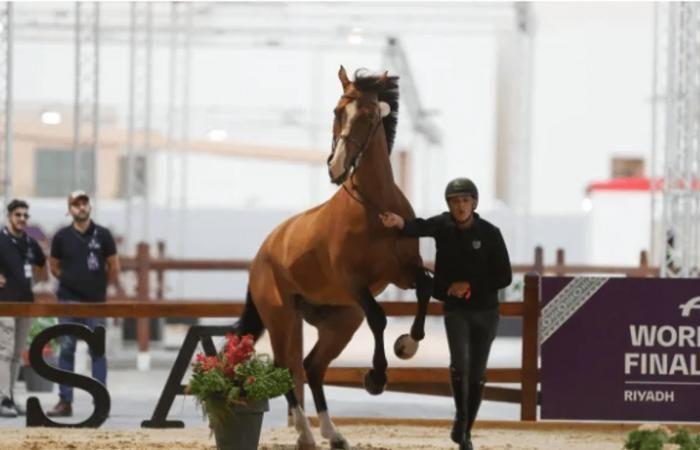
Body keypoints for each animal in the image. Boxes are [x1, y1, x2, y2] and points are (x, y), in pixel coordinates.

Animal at [235, 67, 432, 450]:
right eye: (337, 111)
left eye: (368, 116)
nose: (336, 167)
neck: (375, 208)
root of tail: (262, 253)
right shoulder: (355, 284)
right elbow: (379, 318)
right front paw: (376, 377)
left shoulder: (404, 273)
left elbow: (426, 289)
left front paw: (407, 345)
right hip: (282, 316)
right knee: (286, 366)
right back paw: (306, 433)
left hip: (340, 321)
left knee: (311, 366)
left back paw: (332, 433)